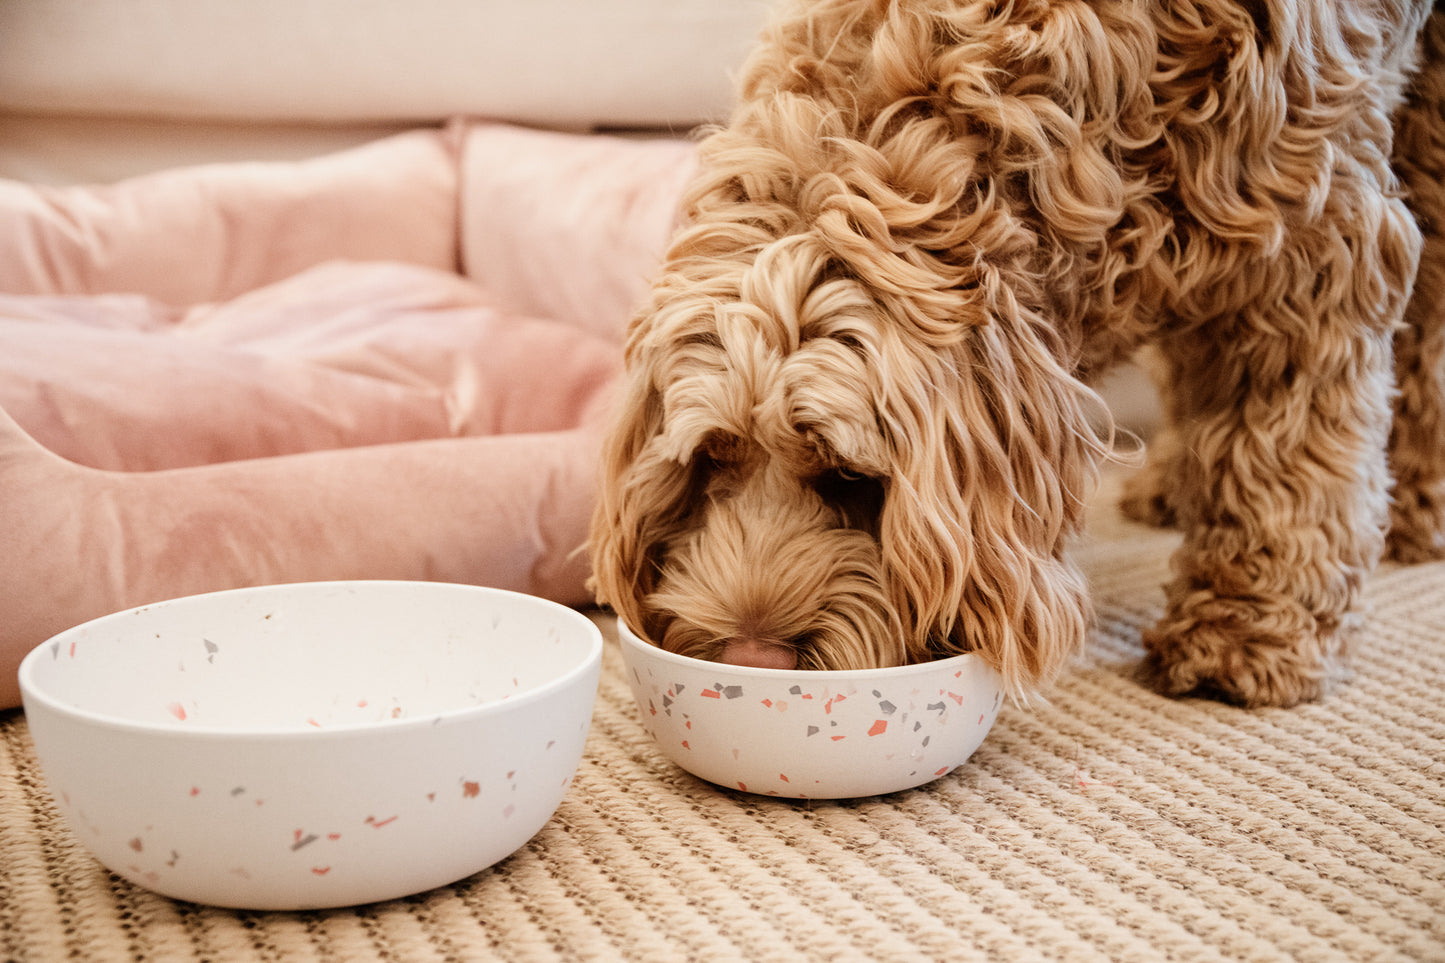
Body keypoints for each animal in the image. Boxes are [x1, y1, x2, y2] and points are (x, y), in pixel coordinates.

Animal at [583, 0, 1445, 705]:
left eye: (852, 480)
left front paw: (1248, 629)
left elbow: (1285, 451)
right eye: (711, 460)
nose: (750, 658)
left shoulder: (1315, 241)